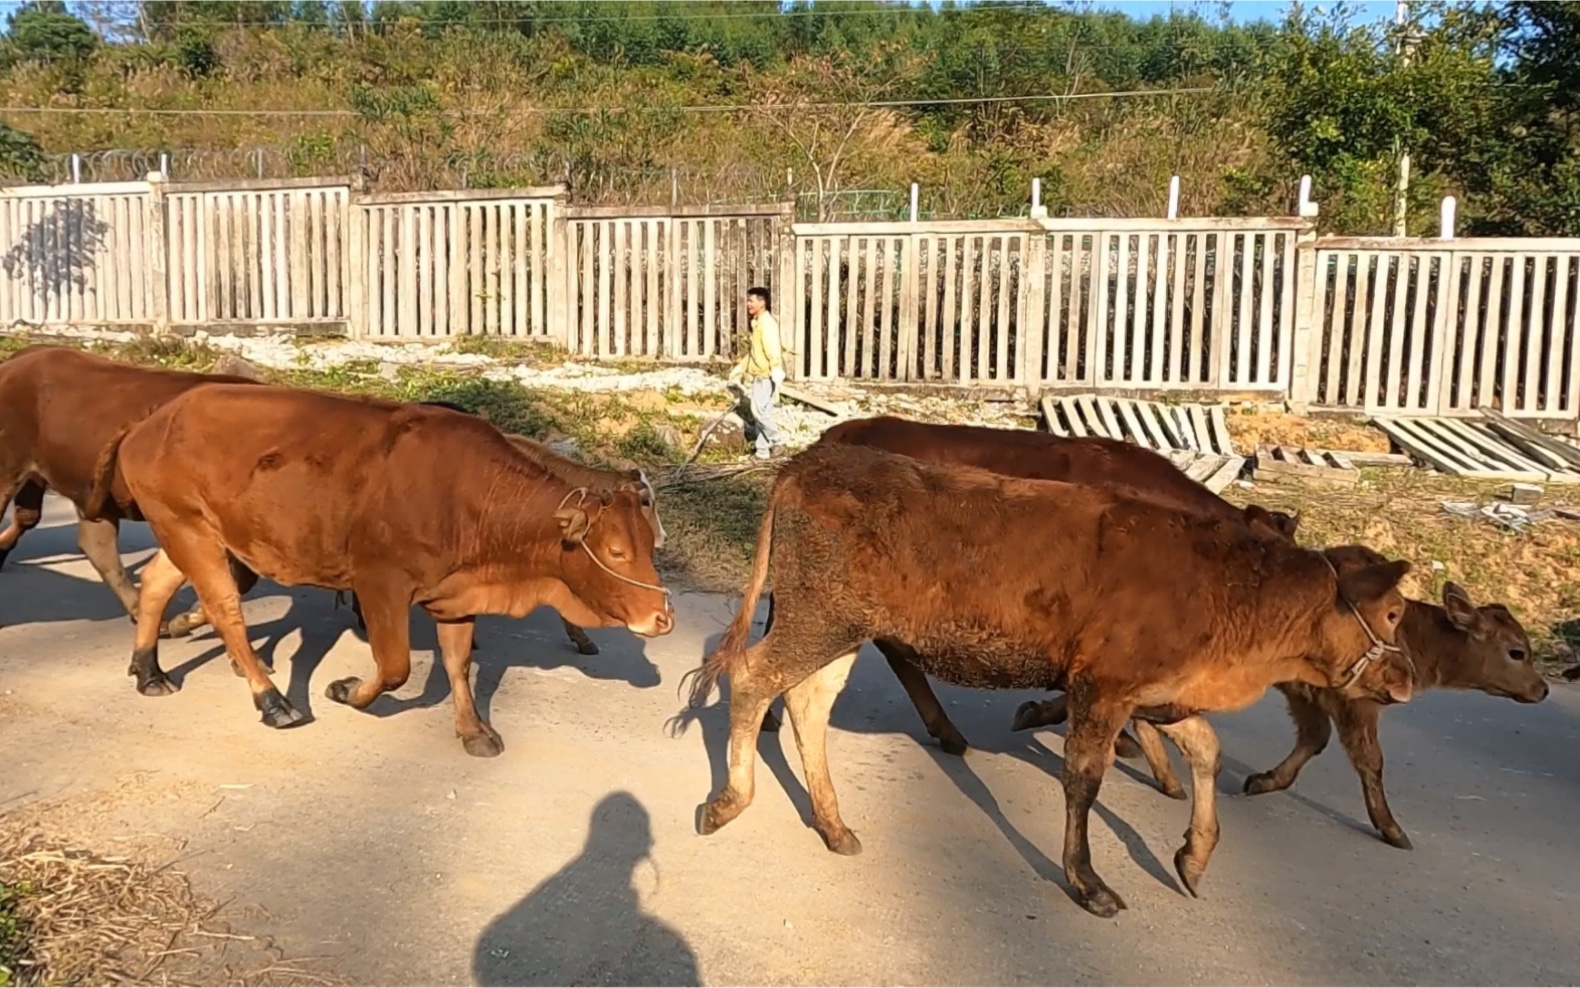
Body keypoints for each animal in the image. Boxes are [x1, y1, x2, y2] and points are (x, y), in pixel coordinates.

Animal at [673, 439, 1415, 916]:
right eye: (1395, 610)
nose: (1407, 677)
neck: (1221, 585)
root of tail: (810, 462)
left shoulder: (1156, 693)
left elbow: (1206, 749)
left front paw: (1194, 855)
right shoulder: (1103, 689)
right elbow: (1083, 780)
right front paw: (1086, 882)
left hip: (838, 631)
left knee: (807, 701)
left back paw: (832, 823)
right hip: (816, 621)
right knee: (753, 677)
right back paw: (728, 800)